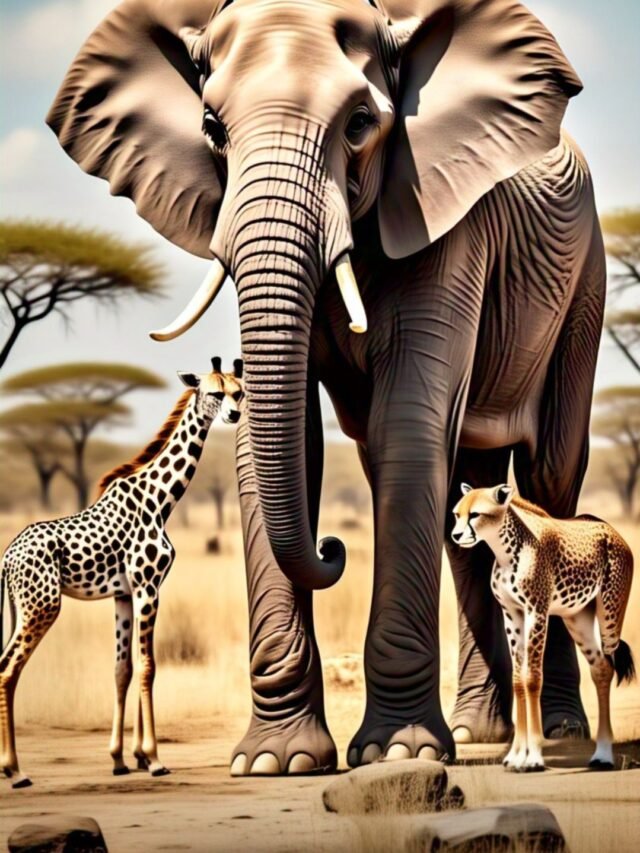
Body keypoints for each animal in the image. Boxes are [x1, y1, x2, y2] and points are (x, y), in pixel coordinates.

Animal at [48, 0, 606, 775]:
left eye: (360, 124)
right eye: (212, 129)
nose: (334, 548)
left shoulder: (443, 216)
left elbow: (409, 426)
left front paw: (398, 753)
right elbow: (287, 441)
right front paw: (274, 761)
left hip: (585, 279)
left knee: (550, 470)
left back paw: (557, 732)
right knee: (470, 487)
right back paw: (478, 732)